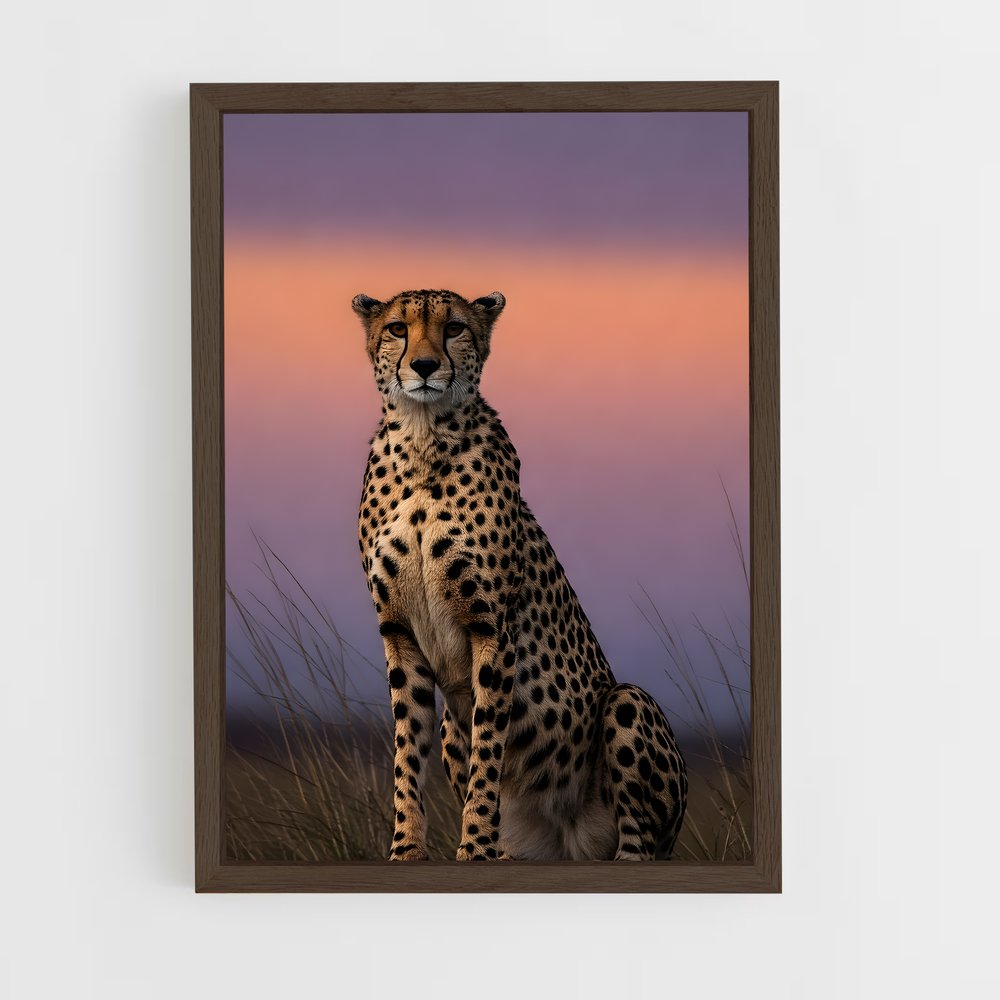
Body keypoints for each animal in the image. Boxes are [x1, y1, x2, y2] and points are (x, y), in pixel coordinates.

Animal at [351, 287, 687, 861]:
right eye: (397, 328)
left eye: (455, 328)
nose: (424, 366)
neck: (422, 441)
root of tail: (570, 847)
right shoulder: (398, 633)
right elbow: (406, 752)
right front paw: (406, 850)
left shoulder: (492, 628)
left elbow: (488, 748)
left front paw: (475, 849)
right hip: (453, 726)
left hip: (627, 704)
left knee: (638, 842)